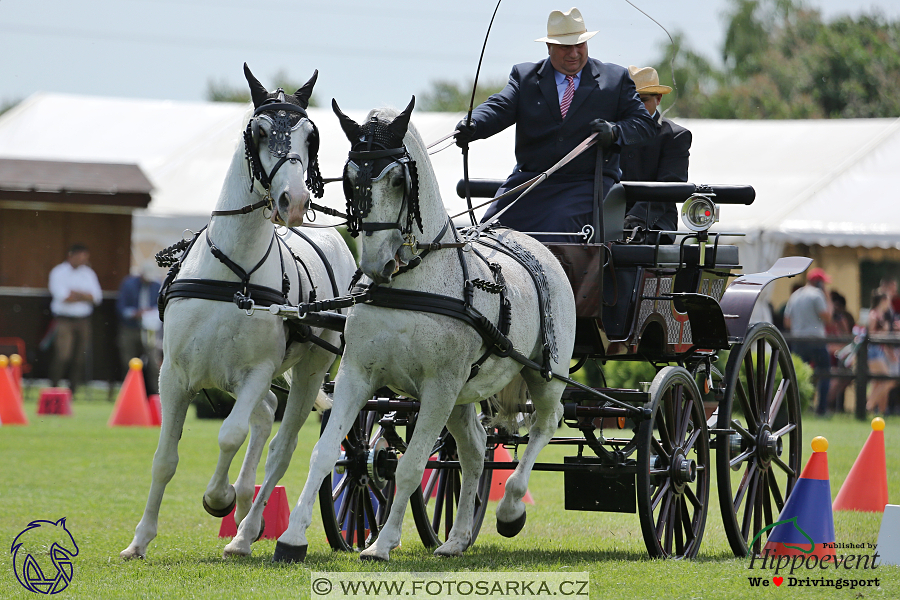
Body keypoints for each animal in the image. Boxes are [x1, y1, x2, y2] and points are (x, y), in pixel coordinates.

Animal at [118, 64, 356, 556]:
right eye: (259, 131)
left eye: (311, 136)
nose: (294, 202)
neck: (234, 274)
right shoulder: (173, 374)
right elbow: (164, 458)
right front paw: (140, 541)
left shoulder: (257, 370)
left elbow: (230, 434)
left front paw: (219, 498)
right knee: (266, 414)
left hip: (308, 369)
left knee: (280, 445)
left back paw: (246, 530)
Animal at [268, 98, 576, 564]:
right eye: (350, 178)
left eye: (399, 180)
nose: (376, 264)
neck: (412, 284)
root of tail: (536, 244)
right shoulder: (359, 375)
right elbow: (324, 454)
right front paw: (291, 538)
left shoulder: (438, 386)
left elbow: (411, 464)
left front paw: (381, 544)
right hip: (463, 395)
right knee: (473, 450)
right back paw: (456, 538)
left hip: (542, 374)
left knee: (546, 423)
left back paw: (510, 508)